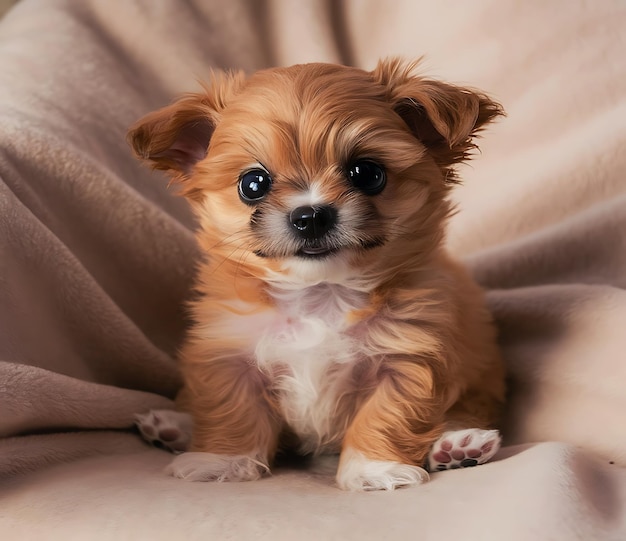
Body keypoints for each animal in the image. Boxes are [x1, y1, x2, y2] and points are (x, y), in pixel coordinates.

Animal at [129, 58, 504, 490]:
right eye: (252, 184)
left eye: (367, 173)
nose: (310, 215)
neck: (321, 294)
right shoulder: (229, 354)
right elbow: (232, 410)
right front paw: (220, 460)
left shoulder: (408, 358)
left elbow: (386, 415)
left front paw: (373, 468)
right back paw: (173, 427)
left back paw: (457, 447)